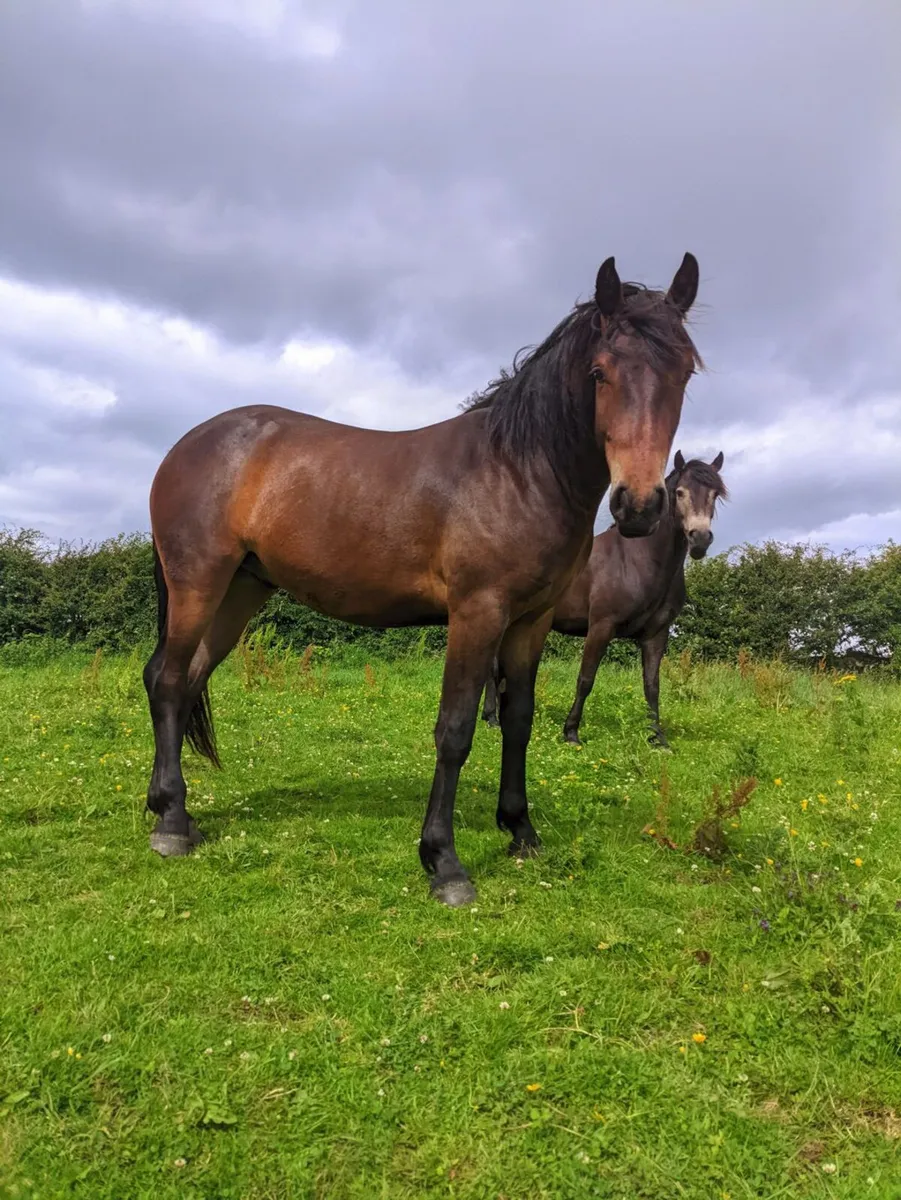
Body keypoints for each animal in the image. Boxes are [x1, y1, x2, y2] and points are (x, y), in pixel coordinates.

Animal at [482, 451, 727, 747]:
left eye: (715, 494)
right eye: (680, 493)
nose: (700, 539)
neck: (639, 561)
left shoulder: (656, 634)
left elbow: (652, 686)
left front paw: (658, 738)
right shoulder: (602, 626)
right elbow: (586, 678)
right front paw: (571, 732)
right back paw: (493, 719)